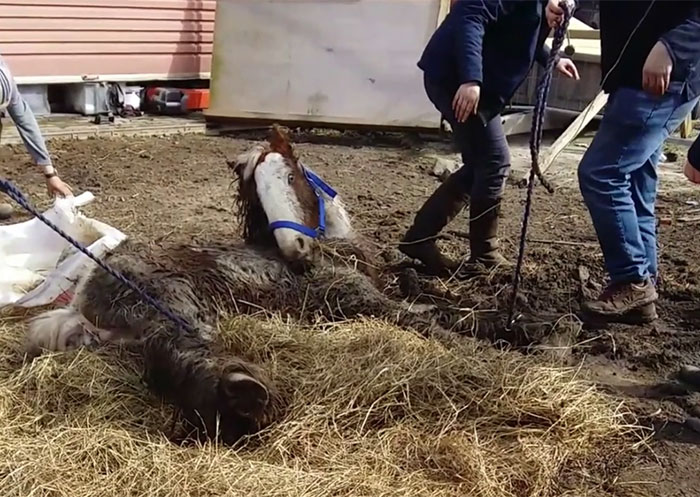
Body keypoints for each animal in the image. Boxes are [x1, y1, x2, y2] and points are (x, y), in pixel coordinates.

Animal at [24, 125, 442, 445]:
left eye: (290, 177)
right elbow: (422, 320)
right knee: (178, 354)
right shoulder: (352, 296)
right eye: (259, 192)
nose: (296, 250)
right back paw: (244, 396)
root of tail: (81, 300)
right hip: (172, 306)